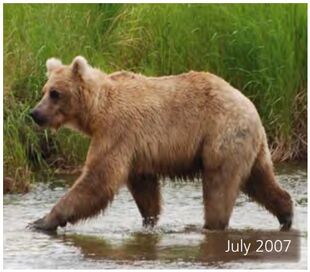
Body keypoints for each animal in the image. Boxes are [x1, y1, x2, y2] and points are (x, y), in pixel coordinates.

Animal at [29, 56, 294, 233]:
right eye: (44, 90)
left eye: (55, 93)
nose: (35, 113)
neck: (96, 111)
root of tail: (250, 105)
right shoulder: (136, 149)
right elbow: (144, 188)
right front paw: (149, 222)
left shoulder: (117, 131)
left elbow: (98, 178)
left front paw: (42, 221)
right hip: (249, 145)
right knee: (260, 179)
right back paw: (286, 214)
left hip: (221, 137)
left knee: (219, 187)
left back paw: (211, 225)